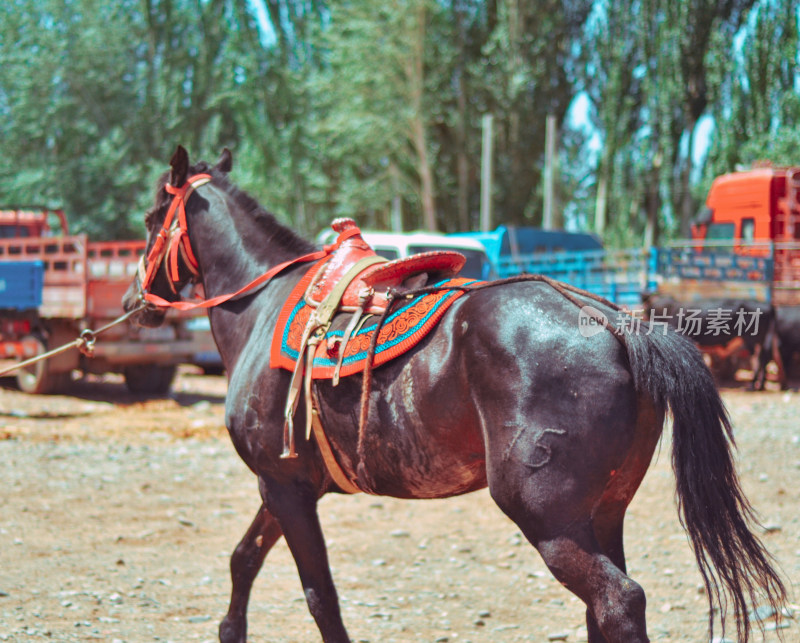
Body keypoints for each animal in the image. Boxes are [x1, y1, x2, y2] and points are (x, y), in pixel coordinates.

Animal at [122, 146, 784, 643]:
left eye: (153, 218)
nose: (133, 301)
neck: (263, 309)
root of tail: (618, 321)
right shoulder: (285, 484)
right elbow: (244, 559)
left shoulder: (285, 486)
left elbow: (319, 596)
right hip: (604, 512)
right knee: (604, 608)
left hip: (549, 520)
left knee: (619, 601)